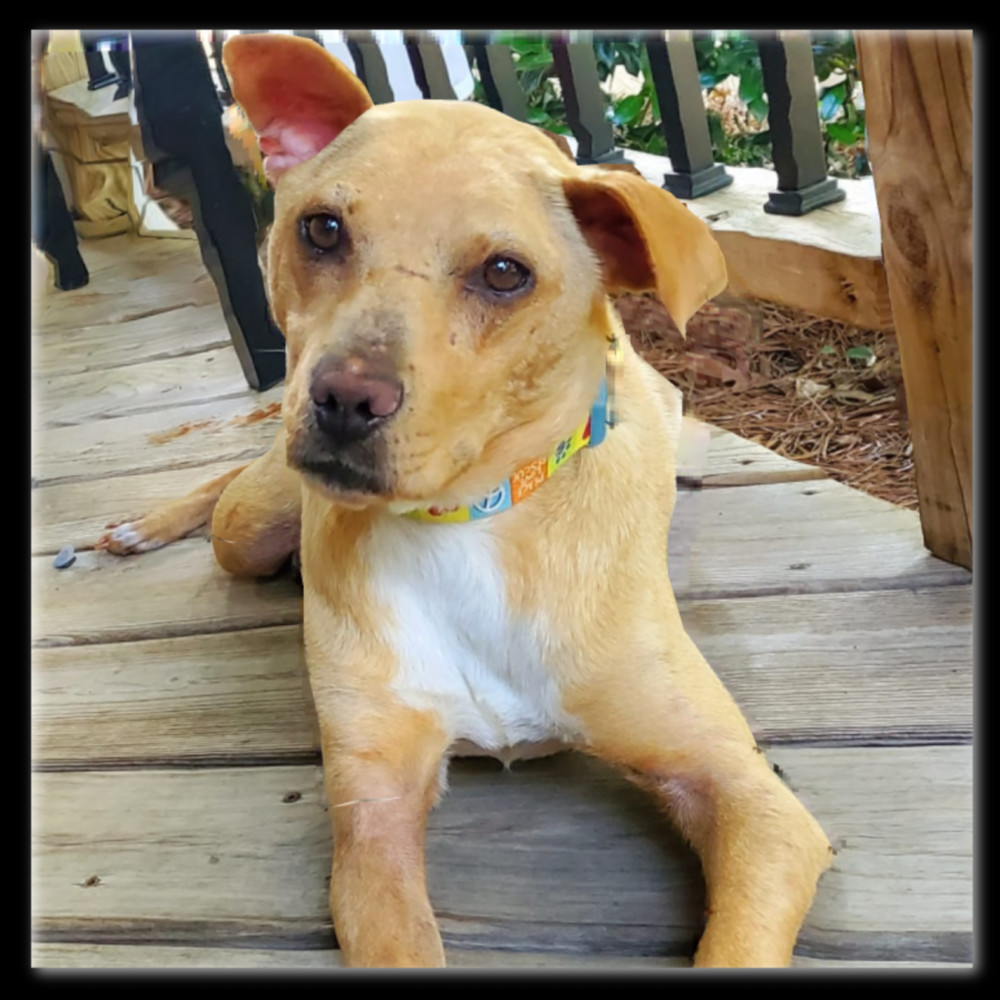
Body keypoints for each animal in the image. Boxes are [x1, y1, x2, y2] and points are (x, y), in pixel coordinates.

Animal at [101, 37, 836, 968]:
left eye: (504, 273)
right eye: (322, 228)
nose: (344, 400)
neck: (465, 522)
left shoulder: (752, 800)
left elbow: (735, 941)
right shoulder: (372, 817)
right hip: (249, 525)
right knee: (226, 489)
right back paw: (144, 524)